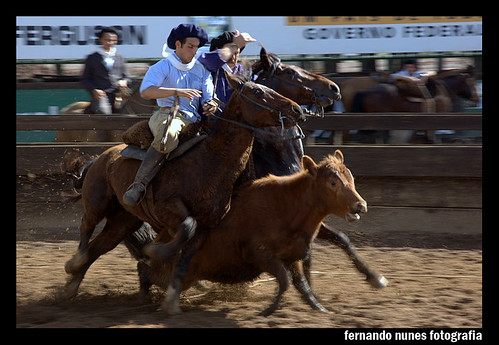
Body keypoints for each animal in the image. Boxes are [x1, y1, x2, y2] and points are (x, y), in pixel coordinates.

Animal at [62, 73, 304, 306]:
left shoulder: (205, 227)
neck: (210, 160)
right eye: (257, 91)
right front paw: (155, 252)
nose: (297, 109)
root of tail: (99, 158)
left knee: (98, 247)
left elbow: (185, 254)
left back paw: (71, 287)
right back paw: (75, 262)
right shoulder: (168, 208)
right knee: (86, 227)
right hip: (98, 202)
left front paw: (172, 299)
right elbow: (187, 226)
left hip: (123, 221)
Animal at [134, 151, 372, 314]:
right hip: (181, 274)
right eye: (333, 182)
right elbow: (285, 280)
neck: (287, 207)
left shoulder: (291, 256)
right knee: (144, 269)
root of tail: (163, 236)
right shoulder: (259, 253)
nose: (360, 205)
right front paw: (269, 309)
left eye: (350, 178)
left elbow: (300, 284)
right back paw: (146, 297)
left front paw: (319, 307)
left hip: (189, 276)